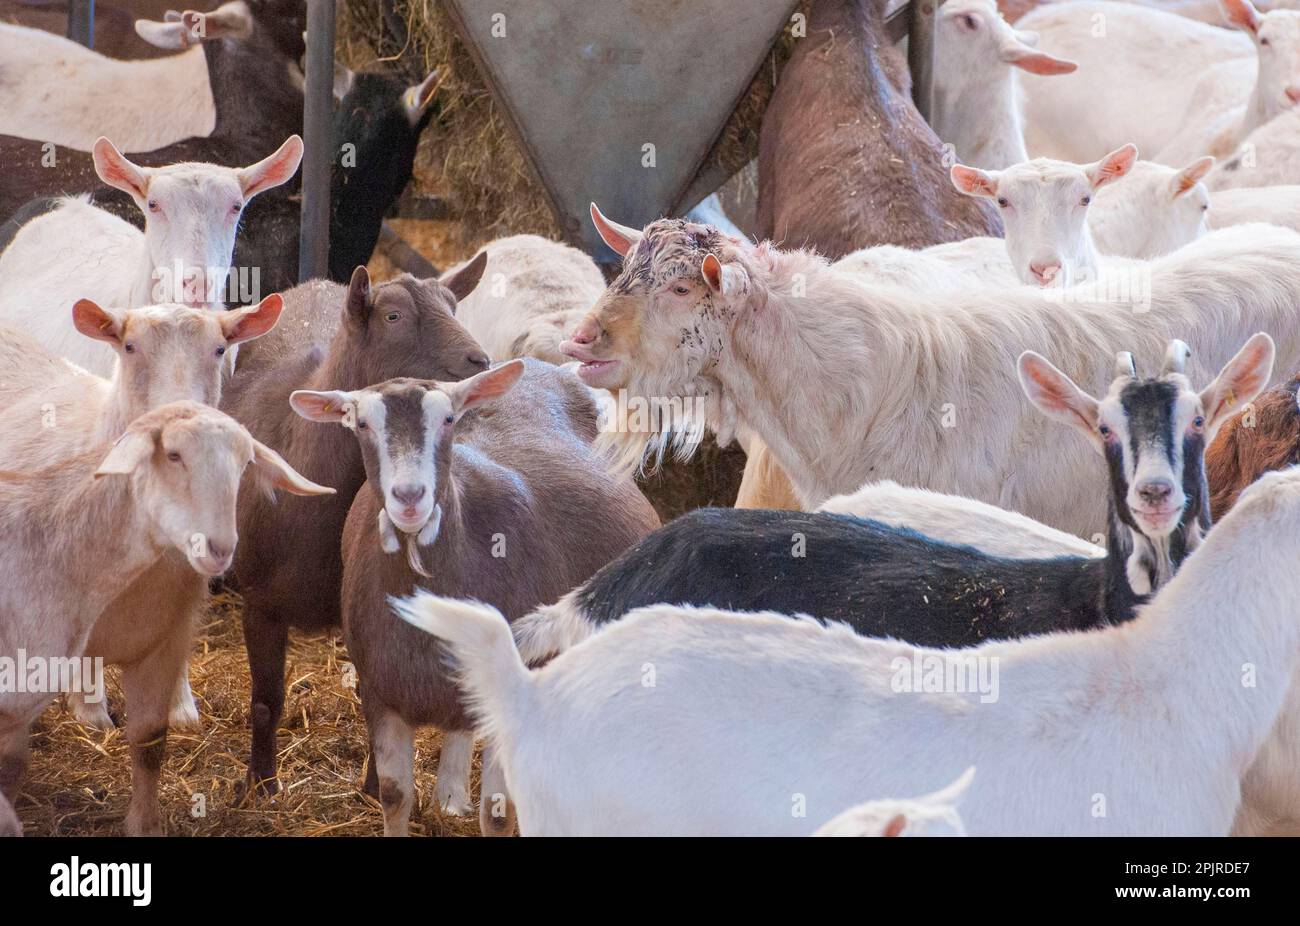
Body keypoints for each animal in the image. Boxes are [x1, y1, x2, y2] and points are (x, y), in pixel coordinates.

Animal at [290, 359, 659, 836]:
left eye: (448, 419)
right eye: (362, 424)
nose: (409, 497)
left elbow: (499, 813)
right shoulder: (380, 693)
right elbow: (394, 795)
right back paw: (450, 794)